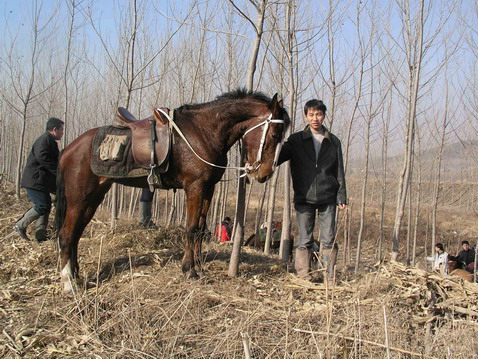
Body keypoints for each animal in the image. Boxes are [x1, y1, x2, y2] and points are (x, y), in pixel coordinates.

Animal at [55, 88, 288, 294]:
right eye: (274, 134)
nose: (265, 174)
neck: (204, 132)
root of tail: (68, 149)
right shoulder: (194, 187)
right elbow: (192, 228)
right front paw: (189, 270)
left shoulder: (208, 188)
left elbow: (201, 228)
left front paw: (199, 267)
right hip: (79, 198)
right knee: (66, 235)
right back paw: (68, 283)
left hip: (94, 197)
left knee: (76, 234)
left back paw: (76, 275)